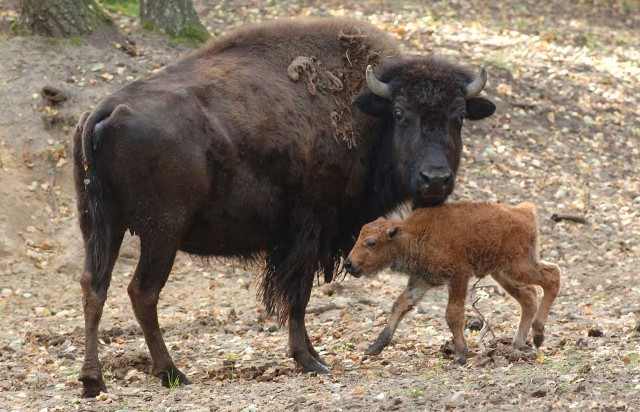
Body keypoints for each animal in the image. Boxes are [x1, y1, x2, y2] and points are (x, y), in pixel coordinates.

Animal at [74, 17, 496, 398]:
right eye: (400, 113)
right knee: (142, 291)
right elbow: (298, 296)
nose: (435, 179)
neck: (364, 112)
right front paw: (310, 360)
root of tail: (104, 111)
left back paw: (93, 381)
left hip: (100, 226)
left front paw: (312, 355)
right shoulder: (308, 232)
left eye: (459, 116)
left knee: (95, 286)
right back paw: (172, 373)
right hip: (162, 231)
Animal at [344, 201, 560, 362]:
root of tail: (524, 212)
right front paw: (374, 347)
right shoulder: (421, 281)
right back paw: (519, 343)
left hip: (518, 267)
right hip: (502, 273)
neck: (412, 235)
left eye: (371, 243)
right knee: (529, 296)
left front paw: (461, 355)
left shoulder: (458, 277)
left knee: (552, 277)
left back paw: (538, 334)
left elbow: (453, 314)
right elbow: (399, 305)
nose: (348, 264)